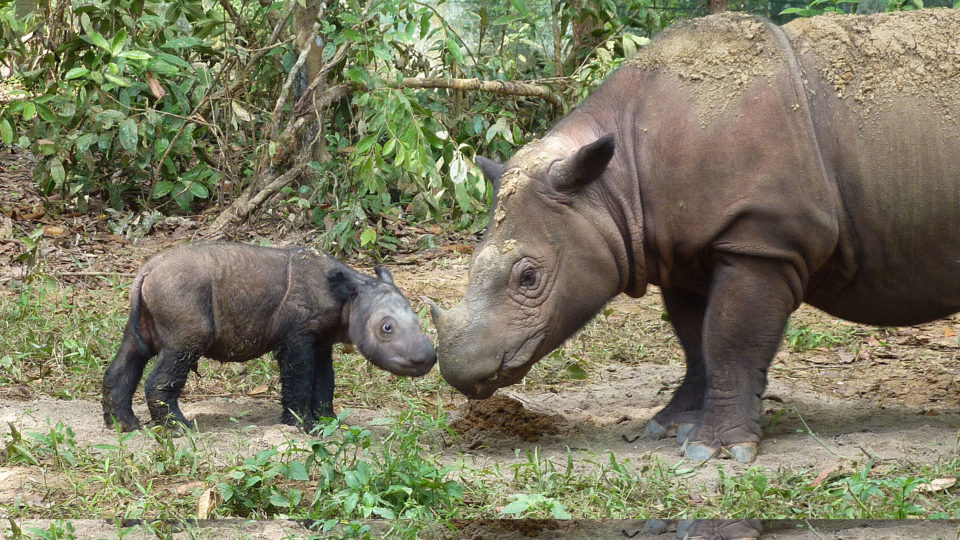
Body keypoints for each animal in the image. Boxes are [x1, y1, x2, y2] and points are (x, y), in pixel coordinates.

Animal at [102, 243, 436, 432]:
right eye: (387, 328)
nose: (428, 358)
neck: (349, 297)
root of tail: (146, 270)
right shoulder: (296, 335)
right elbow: (299, 378)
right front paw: (303, 426)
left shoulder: (320, 340)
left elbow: (325, 381)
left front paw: (329, 422)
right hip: (179, 295)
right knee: (183, 347)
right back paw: (180, 429)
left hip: (152, 301)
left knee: (131, 353)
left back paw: (125, 427)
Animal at [431, 10, 960, 462]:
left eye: (528, 277)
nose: (458, 371)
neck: (612, 185)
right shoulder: (680, 250)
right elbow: (694, 339)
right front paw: (670, 426)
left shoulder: (762, 239)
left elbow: (730, 337)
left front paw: (716, 450)